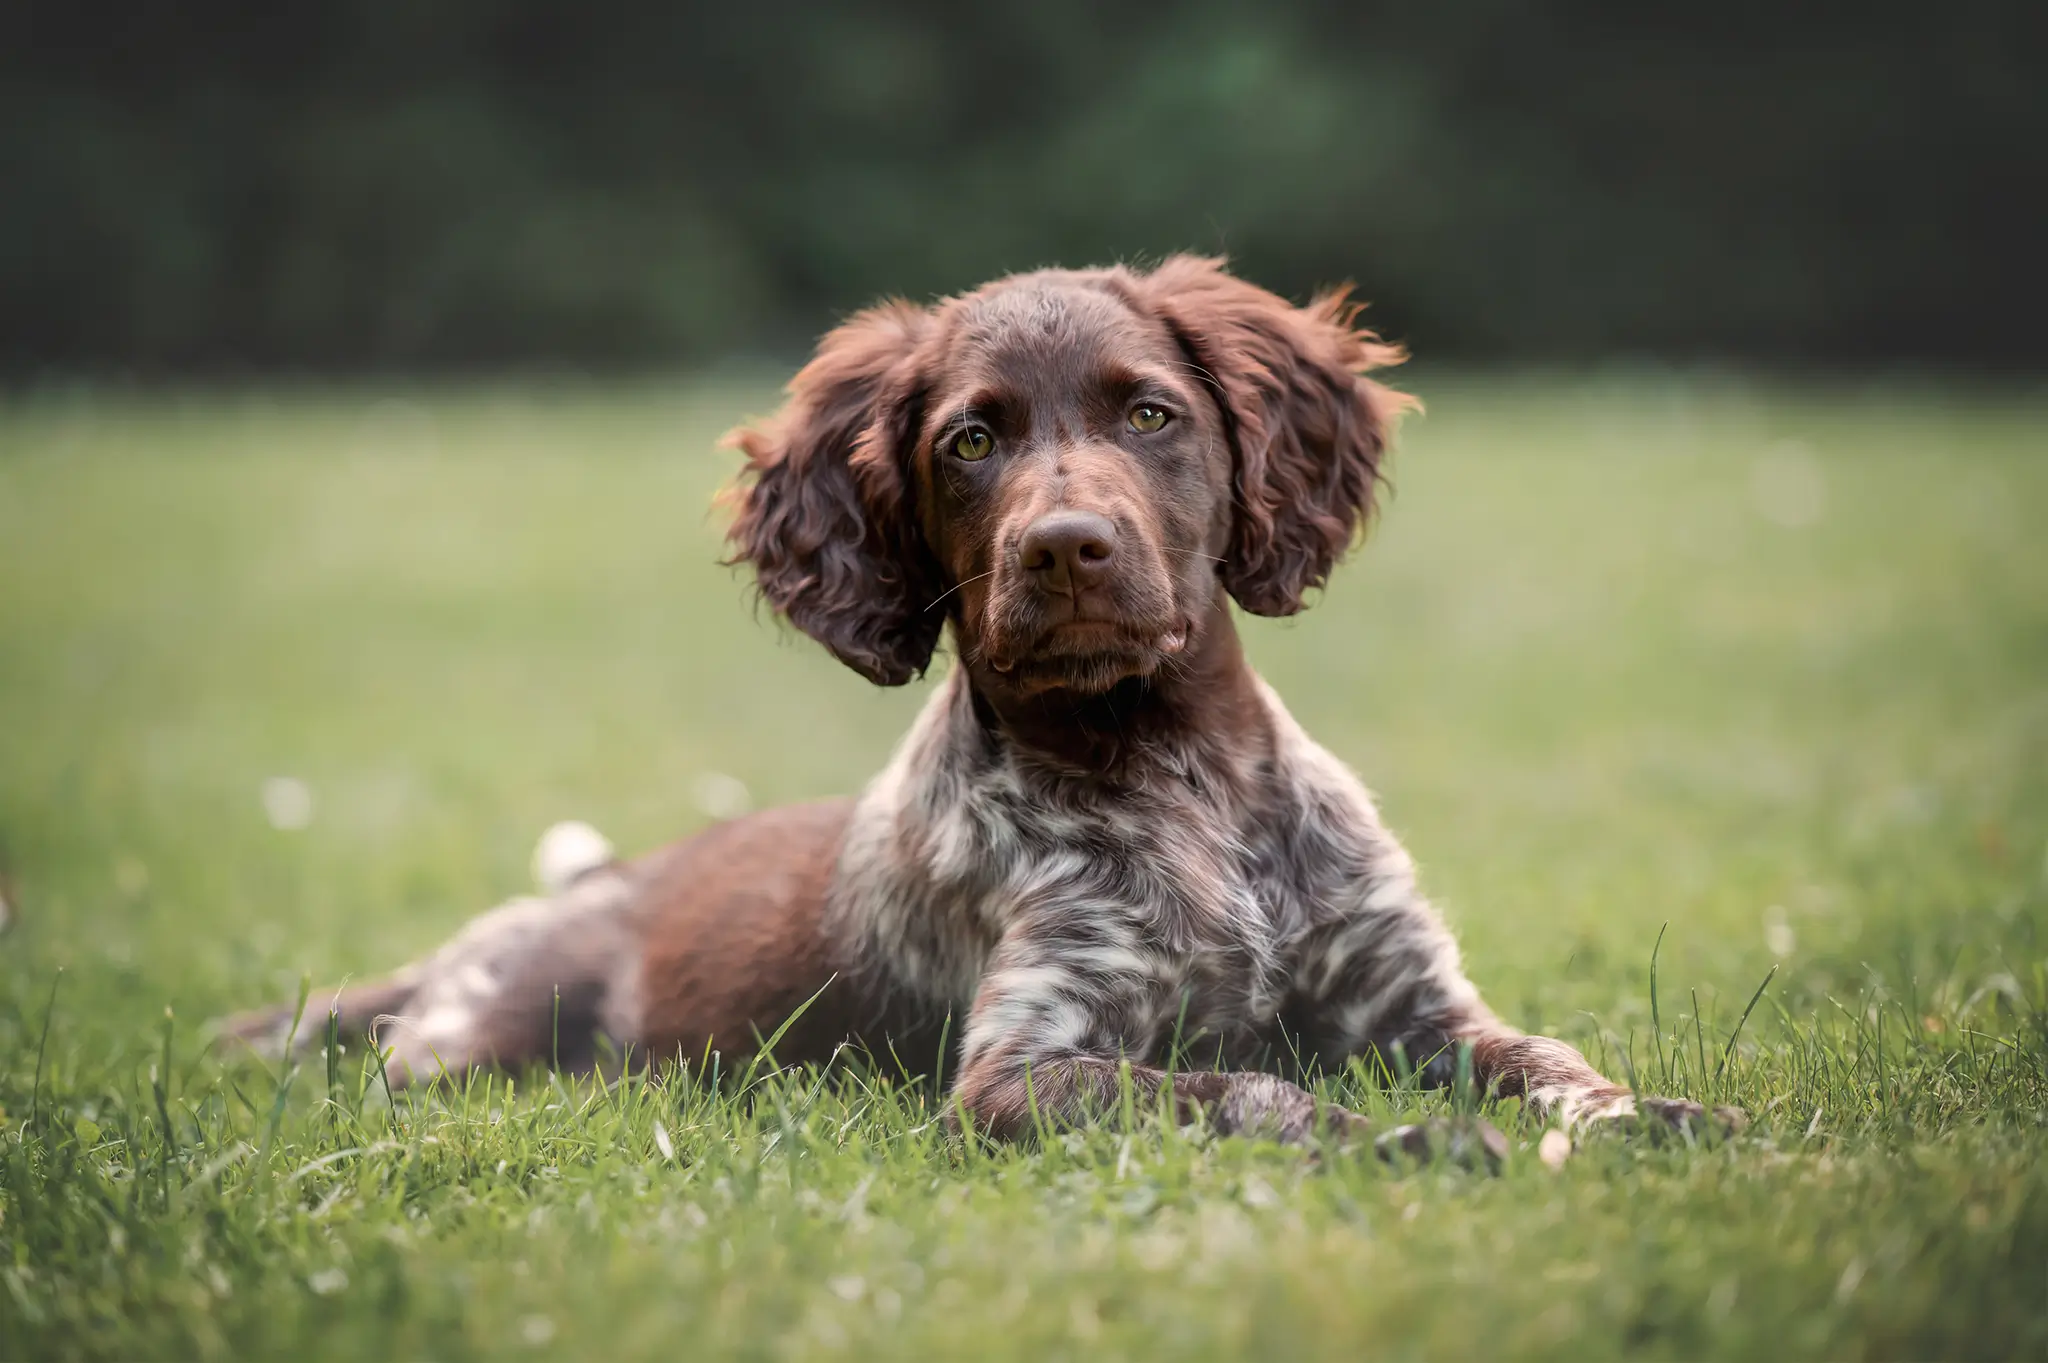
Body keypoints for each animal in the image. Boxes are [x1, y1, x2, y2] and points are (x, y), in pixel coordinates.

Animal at [228, 257, 1744, 1154]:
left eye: (1150, 415)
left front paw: (1647, 1114)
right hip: (473, 1048)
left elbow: (1548, 1058)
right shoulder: (1025, 1067)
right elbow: (1253, 1087)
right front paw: (1411, 1140)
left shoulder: (1417, 1001)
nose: (1064, 547)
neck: (1173, 770)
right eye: (969, 440)